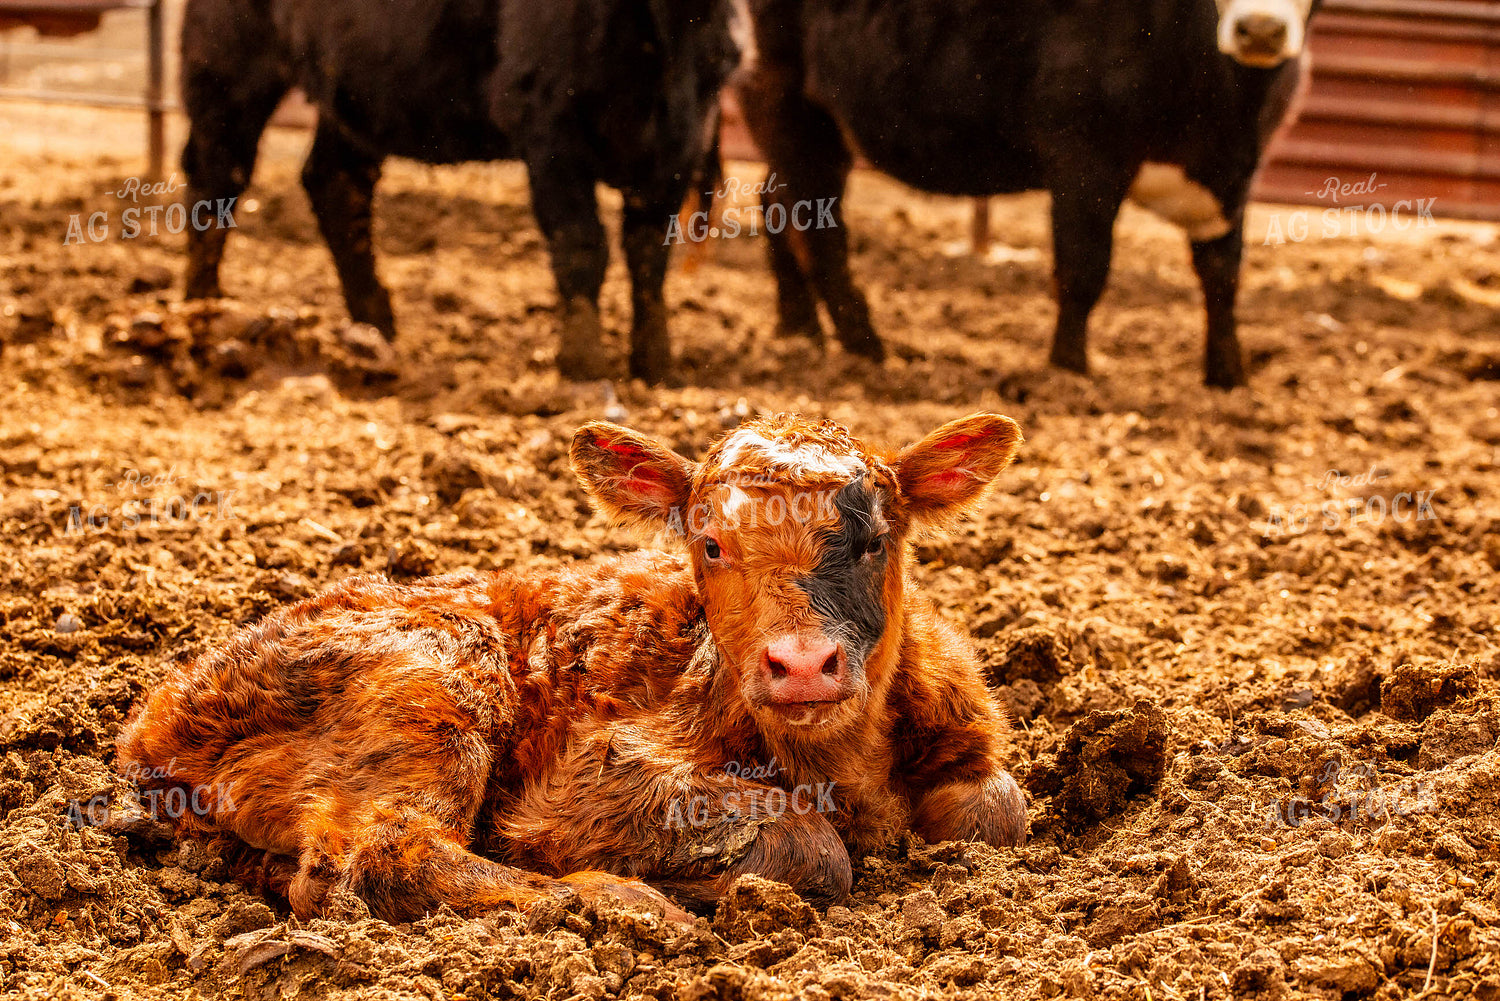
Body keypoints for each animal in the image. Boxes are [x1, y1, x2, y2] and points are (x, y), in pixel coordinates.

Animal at [114, 413, 1030, 922]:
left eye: (874, 540)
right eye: (709, 544)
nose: (802, 663)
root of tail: (158, 716)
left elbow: (996, 810)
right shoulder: (588, 782)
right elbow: (810, 843)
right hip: (433, 682)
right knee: (377, 855)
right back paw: (620, 905)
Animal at [179, 0, 749, 384]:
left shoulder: (681, 143)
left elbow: (649, 254)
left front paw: (657, 365)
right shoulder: (547, 125)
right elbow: (581, 244)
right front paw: (583, 363)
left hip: (352, 94)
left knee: (336, 183)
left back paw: (374, 329)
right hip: (228, 65)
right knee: (216, 178)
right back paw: (201, 318)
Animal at [736, 0, 1320, 388]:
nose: (1261, 30)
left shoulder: (1235, 182)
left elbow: (1223, 275)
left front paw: (1229, 377)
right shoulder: (1084, 156)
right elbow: (1084, 271)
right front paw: (1069, 372)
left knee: (778, 206)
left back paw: (799, 329)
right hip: (790, 95)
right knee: (817, 229)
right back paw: (868, 348)